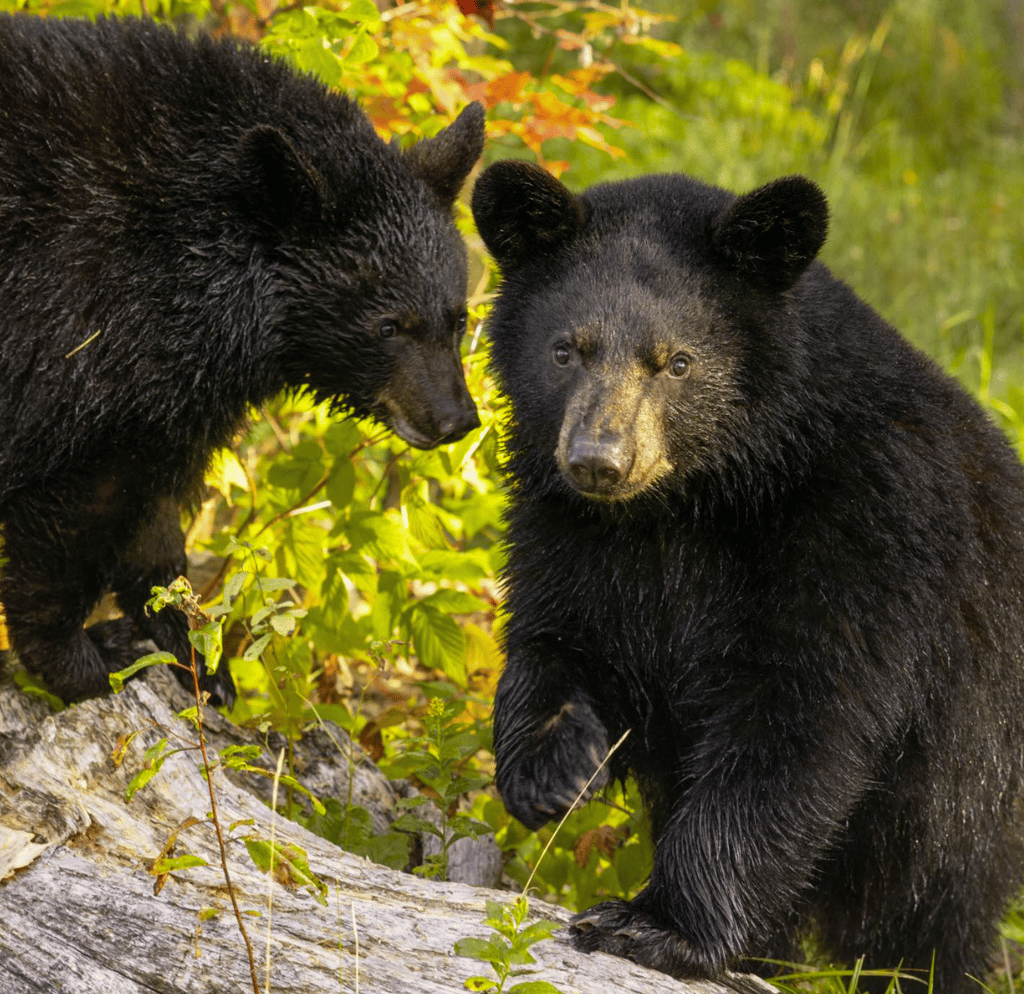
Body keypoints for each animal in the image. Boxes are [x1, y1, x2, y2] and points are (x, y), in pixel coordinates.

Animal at [0, 11, 487, 704]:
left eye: (458, 317)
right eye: (389, 325)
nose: (454, 420)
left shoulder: (163, 389)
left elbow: (152, 523)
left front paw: (198, 660)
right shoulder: (72, 331)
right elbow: (73, 509)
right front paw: (82, 663)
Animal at [473, 159, 1024, 990]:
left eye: (677, 361)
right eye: (567, 350)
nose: (599, 461)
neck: (697, 501)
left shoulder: (867, 537)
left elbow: (794, 728)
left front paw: (653, 924)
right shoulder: (573, 532)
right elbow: (558, 638)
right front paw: (553, 768)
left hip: (978, 766)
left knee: (935, 908)